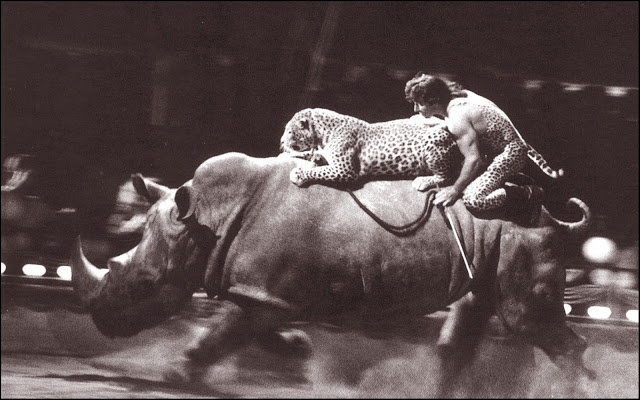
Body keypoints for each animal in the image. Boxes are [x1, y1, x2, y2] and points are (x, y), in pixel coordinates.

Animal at [71, 152, 595, 394]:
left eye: (144, 284)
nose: (101, 322)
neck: (207, 218)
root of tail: (551, 214)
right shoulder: (267, 293)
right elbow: (245, 328)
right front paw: (300, 349)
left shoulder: (266, 293)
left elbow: (225, 332)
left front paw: (177, 375)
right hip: (494, 237)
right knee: (473, 314)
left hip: (522, 234)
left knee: (526, 320)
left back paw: (577, 391)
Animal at [279, 108, 459, 191]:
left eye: (289, 131)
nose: (281, 141)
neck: (323, 134)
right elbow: (313, 155)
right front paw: (295, 154)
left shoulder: (345, 170)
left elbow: (320, 171)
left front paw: (299, 174)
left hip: (434, 142)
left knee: (447, 177)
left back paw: (423, 181)